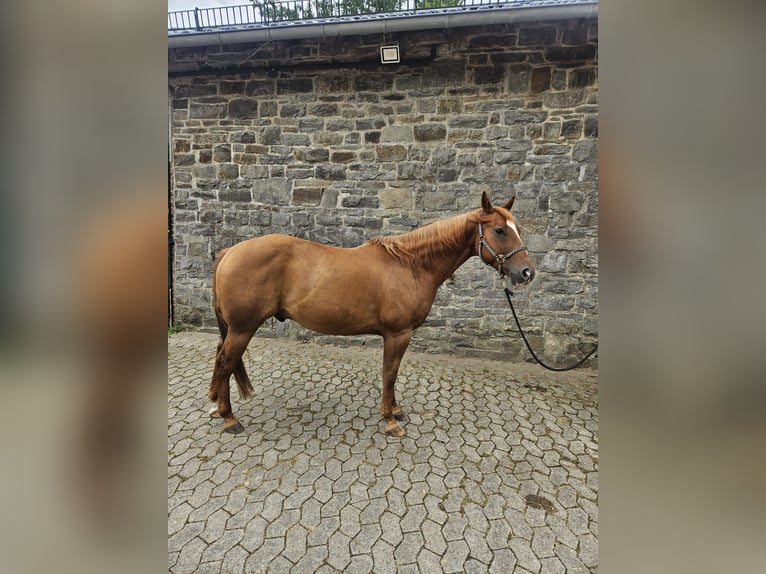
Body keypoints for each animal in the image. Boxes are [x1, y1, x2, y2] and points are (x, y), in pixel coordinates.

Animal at [208, 191, 535, 437]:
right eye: (499, 230)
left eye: (517, 228)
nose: (526, 273)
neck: (411, 265)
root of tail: (229, 252)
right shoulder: (398, 333)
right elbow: (390, 373)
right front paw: (390, 419)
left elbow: (393, 373)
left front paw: (396, 411)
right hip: (243, 328)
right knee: (226, 362)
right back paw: (229, 418)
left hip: (235, 329)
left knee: (221, 358)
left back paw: (215, 406)